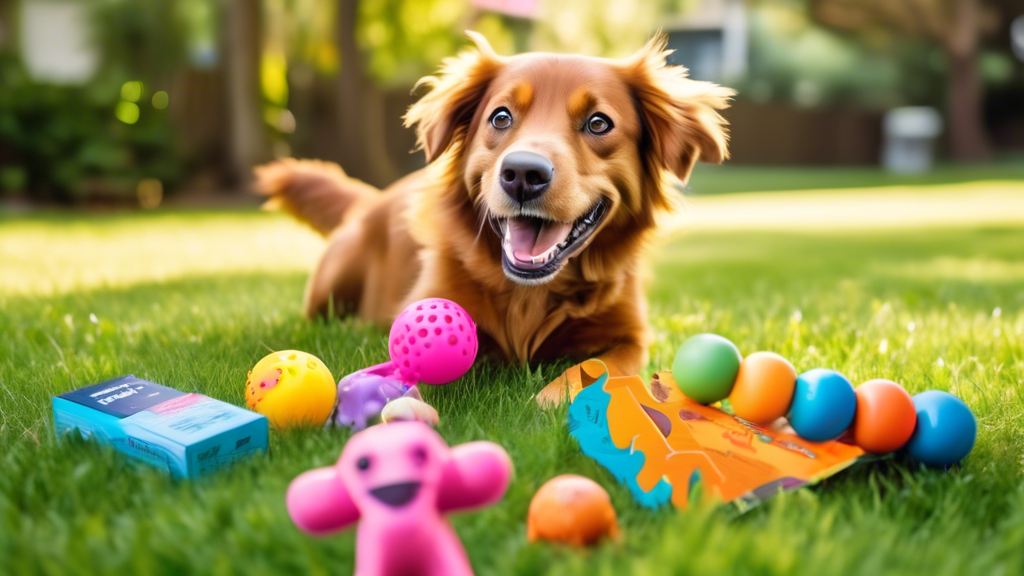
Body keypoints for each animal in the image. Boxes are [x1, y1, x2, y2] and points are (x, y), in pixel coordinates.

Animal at [260, 31, 733, 389]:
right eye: (501, 117)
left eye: (599, 123)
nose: (523, 173)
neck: (532, 294)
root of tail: (374, 198)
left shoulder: (631, 336)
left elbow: (599, 364)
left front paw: (552, 397)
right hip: (330, 286)